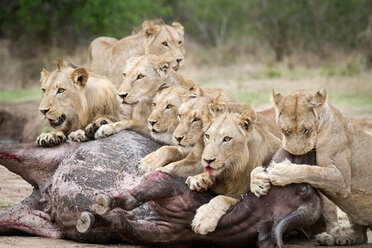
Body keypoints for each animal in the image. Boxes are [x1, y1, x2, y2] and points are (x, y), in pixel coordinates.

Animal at [186, 103, 282, 235]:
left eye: (227, 139)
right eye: (207, 136)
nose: (207, 160)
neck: (234, 170)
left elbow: (221, 198)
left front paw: (204, 219)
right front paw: (199, 179)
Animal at [250, 89, 372, 246]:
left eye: (306, 130)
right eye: (285, 131)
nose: (296, 153)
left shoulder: (342, 179)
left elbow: (310, 170)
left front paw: (280, 171)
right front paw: (257, 182)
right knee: (360, 235)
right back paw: (337, 238)